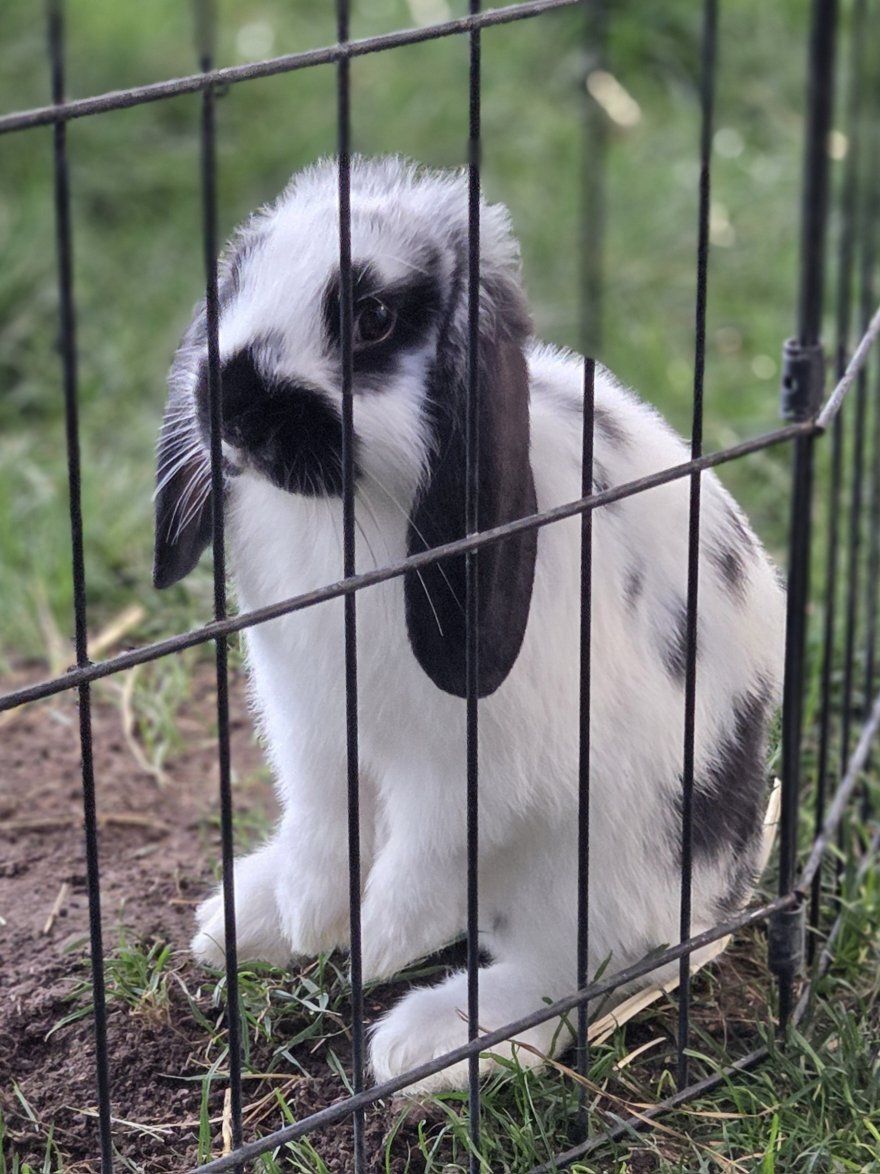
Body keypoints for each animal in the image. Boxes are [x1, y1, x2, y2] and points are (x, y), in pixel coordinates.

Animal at [153, 156, 785, 1093]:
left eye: (373, 318)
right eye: (235, 279)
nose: (232, 409)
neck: (353, 511)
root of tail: (725, 891)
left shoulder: (476, 769)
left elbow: (429, 855)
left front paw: (375, 944)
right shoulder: (312, 725)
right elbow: (323, 819)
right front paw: (309, 916)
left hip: (602, 861)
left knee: (566, 973)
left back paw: (428, 1043)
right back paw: (243, 919)